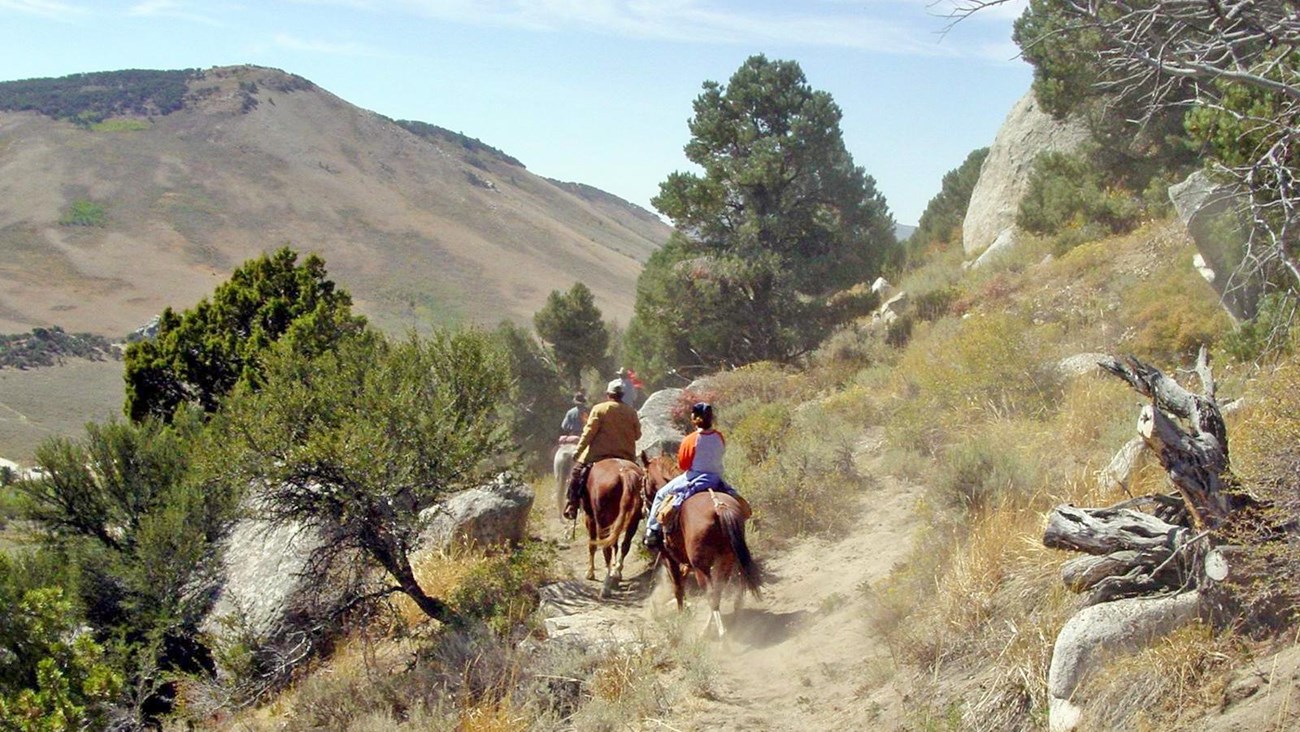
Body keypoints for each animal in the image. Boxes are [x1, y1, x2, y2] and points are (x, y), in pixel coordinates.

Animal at [579, 457, 644, 600]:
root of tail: (624, 473)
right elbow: (615, 544)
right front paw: (616, 571)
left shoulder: (590, 518)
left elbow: (592, 545)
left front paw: (590, 573)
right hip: (633, 519)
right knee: (625, 545)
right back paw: (616, 571)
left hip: (602, 521)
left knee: (606, 549)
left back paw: (606, 585)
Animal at [642, 455, 759, 639]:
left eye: (643, 478)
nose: (643, 506)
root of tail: (719, 507)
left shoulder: (669, 558)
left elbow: (678, 588)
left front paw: (682, 617)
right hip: (726, 559)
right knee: (718, 591)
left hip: (701, 566)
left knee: (711, 593)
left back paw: (718, 634)